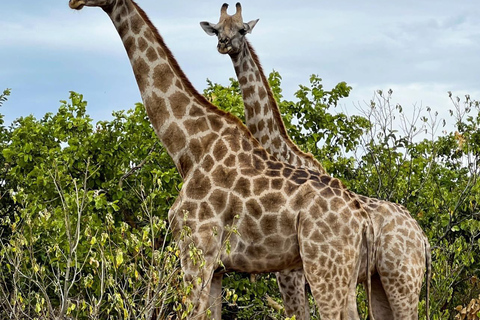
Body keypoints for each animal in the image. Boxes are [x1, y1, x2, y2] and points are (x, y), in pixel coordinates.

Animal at [67, 1, 376, 318]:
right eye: (217, 29)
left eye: (242, 29)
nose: (73, 3)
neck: (190, 146)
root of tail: (362, 218)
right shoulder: (217, 269)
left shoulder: (196, 249)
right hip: (343, 273)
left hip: (321, 266)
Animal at [201, 3, 434, 320]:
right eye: (217, 29)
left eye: (242, 29)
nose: (224, 44)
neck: (282, 153)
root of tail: (423, 239)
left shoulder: (293, 272)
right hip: (381, 281)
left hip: (403, 279)